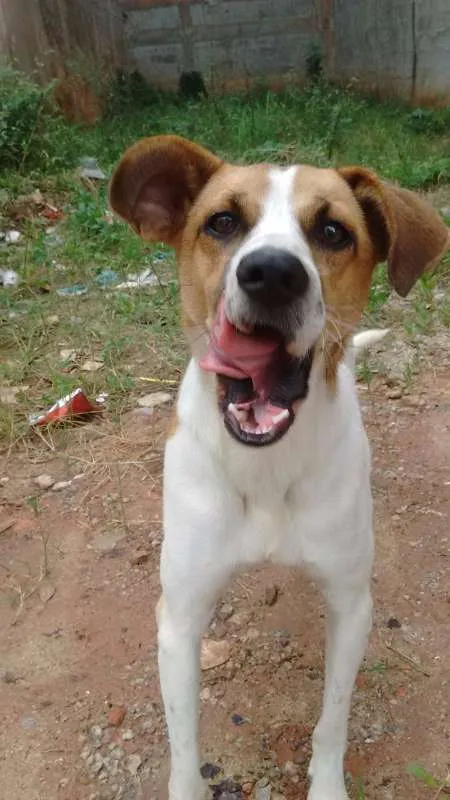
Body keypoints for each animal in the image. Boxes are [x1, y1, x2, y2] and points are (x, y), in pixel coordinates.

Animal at [110, 134, 450, 796]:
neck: (265, 471)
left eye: (333, 231)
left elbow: (333, 720)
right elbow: (184, 746)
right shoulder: (179, 617)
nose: (271, 274)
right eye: (222, 222)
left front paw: (327, 784)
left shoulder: (351, 604)